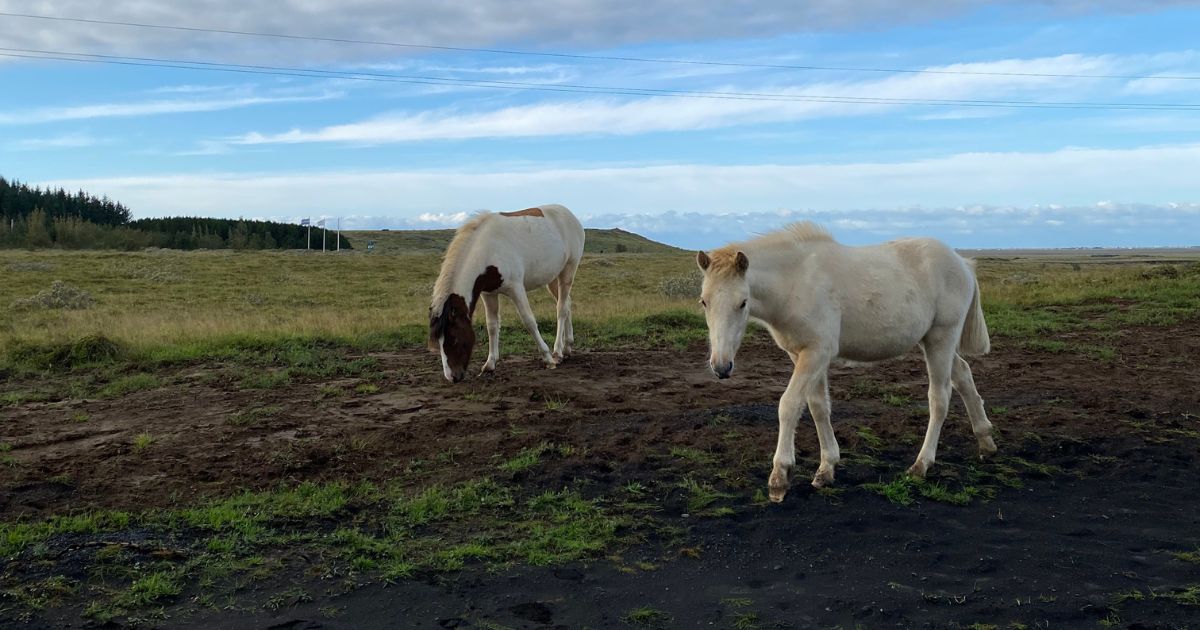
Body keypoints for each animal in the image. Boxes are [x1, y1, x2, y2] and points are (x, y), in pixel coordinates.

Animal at [429, 204, 583, 381]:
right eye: (438, 341)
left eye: (454, 339)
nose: (453, 377)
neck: (487, 250)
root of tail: (569, 214)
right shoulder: (488, 294)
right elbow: (492, 326)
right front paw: (490, 364)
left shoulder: (516, 288)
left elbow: (529, 321)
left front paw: (547, 359)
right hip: (552, 278)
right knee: (567, 303)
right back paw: (567, 347)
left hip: (568, 271)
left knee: (561, 309)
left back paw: (557, 352)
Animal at [696, 220, 993, 501]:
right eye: (704, 302)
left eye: (743, 302)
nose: (721, 366)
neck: (796, 281)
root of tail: (962, 263)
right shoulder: (803, 355)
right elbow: (818, 407)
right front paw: (826, 469)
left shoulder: (817, 352)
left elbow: (789, 405)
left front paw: (779, 477)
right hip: (931, 340)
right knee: (963, 374)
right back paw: (986, 441)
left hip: (941, 338)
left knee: (939, 398)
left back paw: (921, 465)